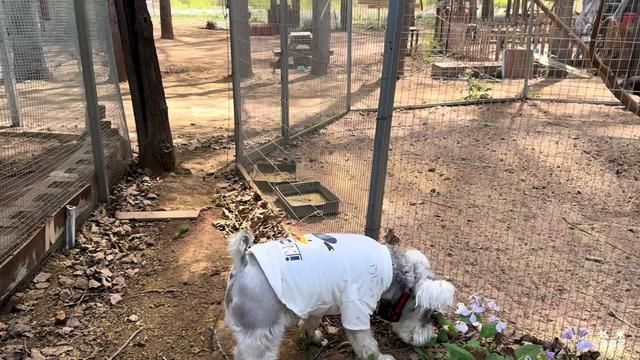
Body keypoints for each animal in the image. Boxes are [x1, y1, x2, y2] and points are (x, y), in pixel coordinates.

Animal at [225, 231, 456, 360]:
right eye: (428, 314)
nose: (430, 338)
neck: (392, 272)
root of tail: (243, 264)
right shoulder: (357, 309)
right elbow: (367, 344)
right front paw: (381, 357)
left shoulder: (317, 303)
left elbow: (310, 323)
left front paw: (313, 337)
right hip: (261, 333)